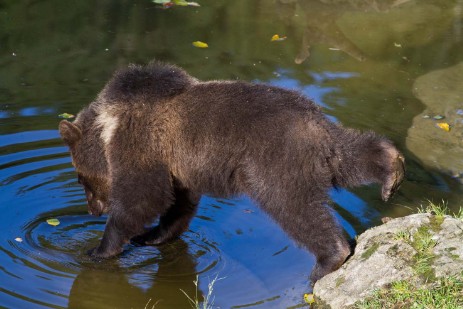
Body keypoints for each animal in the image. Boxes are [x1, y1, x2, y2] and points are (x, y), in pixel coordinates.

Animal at [59, 61, 404, 282]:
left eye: (80, 177)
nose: (92, 209)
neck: (109, 128)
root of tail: (313, 121)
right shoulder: (179, 164)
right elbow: (177, 203)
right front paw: (151, 235)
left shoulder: (142, 142)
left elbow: (142, 196)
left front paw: (99, 249)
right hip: (323, 150)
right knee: (350, 157)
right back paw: (393, 170)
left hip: (273, 162)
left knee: (293, 206)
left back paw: (328, 259)